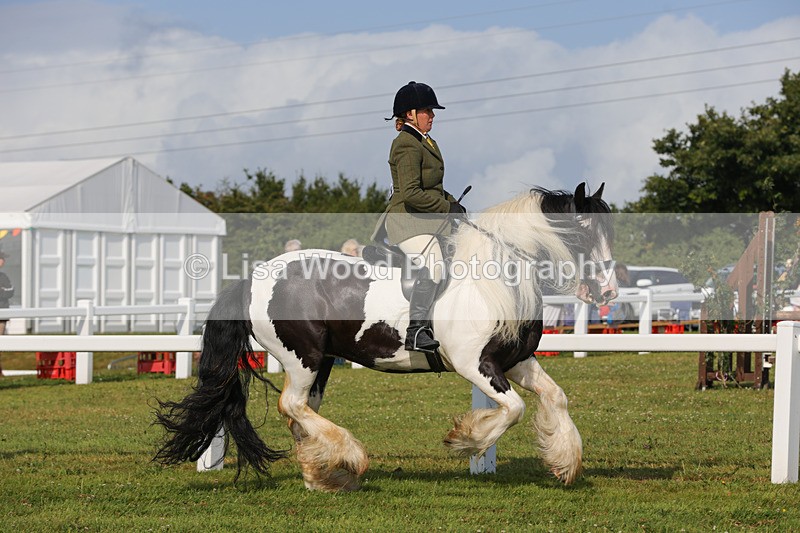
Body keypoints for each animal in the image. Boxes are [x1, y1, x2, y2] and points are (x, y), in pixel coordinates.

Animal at [154, 182, 617, 491]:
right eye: (582, 229)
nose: (609, 292)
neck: (494, 277)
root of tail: (253, 278)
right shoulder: (475, 365)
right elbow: (515, 409)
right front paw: (465, 438)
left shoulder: (514, 360)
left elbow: (555, 397)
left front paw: (564, 464)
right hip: (302, 357)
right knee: (292, 405)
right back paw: (350, 458)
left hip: (322, 361)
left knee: (301, 412)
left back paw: (321, 475)